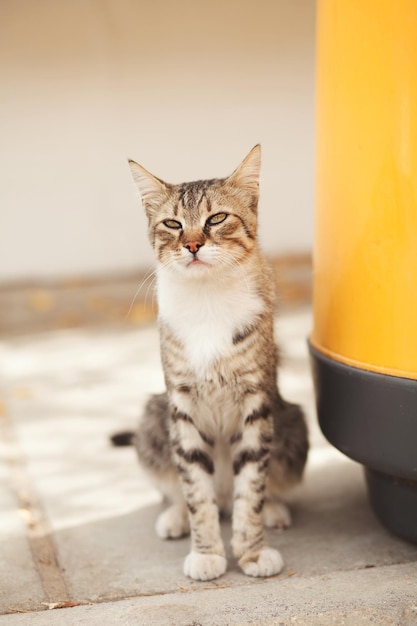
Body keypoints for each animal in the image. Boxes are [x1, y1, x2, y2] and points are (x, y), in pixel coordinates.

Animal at [117, 146, 308, 580]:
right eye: (172, 223)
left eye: (216, 218)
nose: (192, 245)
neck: (207, 299)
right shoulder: (182, 405)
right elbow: (194, 491)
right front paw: (206, 553)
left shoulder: (256, 403)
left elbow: (251, 487)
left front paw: (252, 551)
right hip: (153, 419)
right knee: (179, 491)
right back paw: (174, 517)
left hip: (293, 423)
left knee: (260, 488)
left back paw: (273, 509)